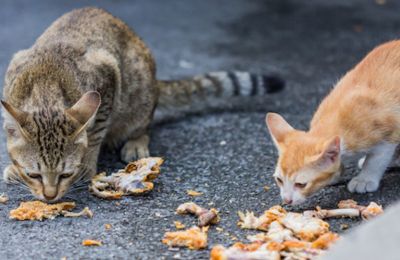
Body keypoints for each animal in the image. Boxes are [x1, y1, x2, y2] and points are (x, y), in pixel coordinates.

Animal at [266, 39, 400, 204]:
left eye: (301, 184)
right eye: (279, 180)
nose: (286, 200)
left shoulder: (389, 132)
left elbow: (377, 159)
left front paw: (365, 178)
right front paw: (337, 172)